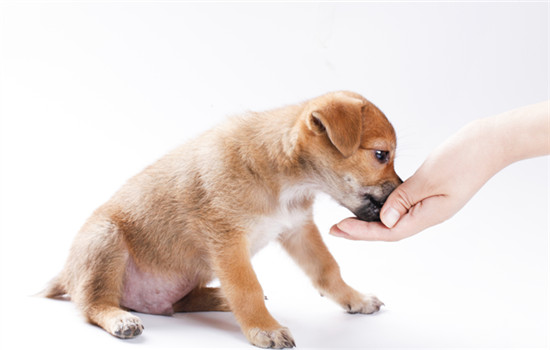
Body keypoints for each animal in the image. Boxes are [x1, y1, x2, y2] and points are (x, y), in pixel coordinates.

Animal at [43, 91, 404, 348]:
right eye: (381, 155)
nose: (401, 192)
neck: (282, 174)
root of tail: (66, 276)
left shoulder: (297, 228)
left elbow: (327, 268)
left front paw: (355, 299)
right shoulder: (227, 239)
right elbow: (247, 287)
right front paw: (264, 328)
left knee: (180, 302)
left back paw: (217, 297)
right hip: (105, 239)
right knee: (92, 303)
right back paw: (119, 318)